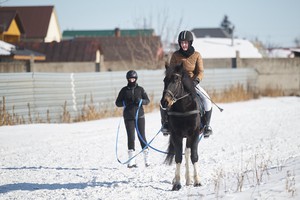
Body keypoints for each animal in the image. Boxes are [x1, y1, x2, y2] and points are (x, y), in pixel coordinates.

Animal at [161, 63, 203, 191]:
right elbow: (178, 157)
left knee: (188, 153)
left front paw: (197, 181)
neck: (184, 109)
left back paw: (189, 179)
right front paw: (177, 183)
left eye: (176, 79)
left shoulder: (194, 134)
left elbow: (194, 156)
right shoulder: (176, 135)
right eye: (164, 80)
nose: (164, 102)